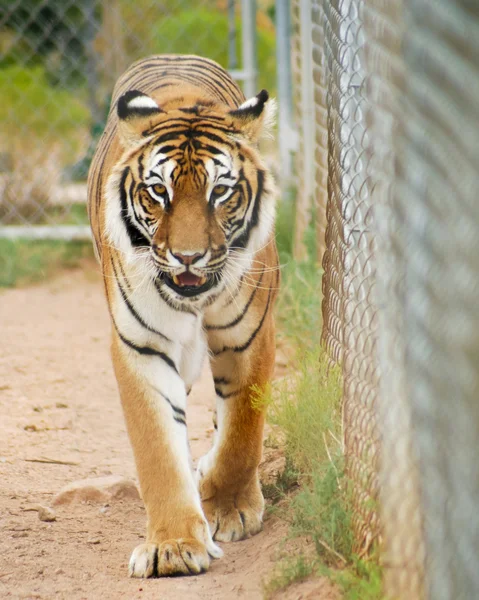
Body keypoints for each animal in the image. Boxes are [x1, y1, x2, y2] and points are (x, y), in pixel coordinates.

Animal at [88, 55, 280, 576]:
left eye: (221, 192)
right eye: (159, 192)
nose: (188, 257)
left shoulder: (248, 334)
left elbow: (242, 430)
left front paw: (231, 508)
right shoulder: (142, 346)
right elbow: (158, 447)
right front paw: (172, 546)